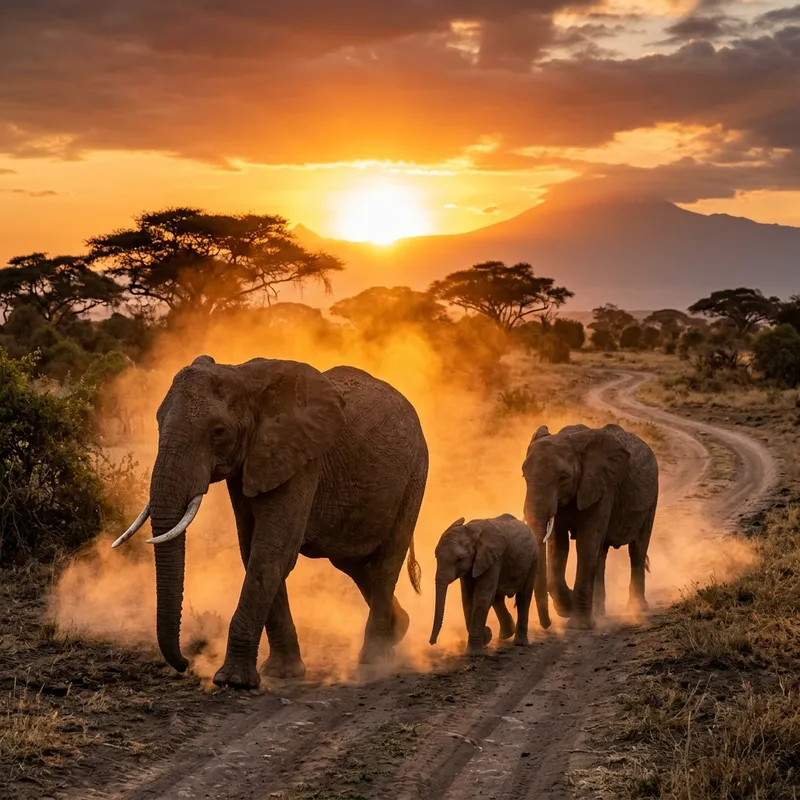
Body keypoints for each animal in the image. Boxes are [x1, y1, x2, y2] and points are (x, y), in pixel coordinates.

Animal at [113, 355, 429, 689]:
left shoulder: (301, 459)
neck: (243, 375)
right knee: (354, 564)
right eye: (158, 422)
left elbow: (272, 553)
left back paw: (374, 661)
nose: (185, 662)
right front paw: (281, 673)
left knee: (385, 563)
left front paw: (233, 681)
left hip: (415, 473)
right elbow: (252, 548)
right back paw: (399, 629)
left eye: (218, 432)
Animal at [428, 514, 547, 653]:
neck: (471, 532)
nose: (432, 642)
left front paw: (473, 653)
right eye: (436, 556)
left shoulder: (493, 558)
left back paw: (520, 643)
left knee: (523, 597)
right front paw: (485, 638)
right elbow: (468, 598)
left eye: (460, 559)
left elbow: (482, 597)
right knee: (497, 597)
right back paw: (506, 635)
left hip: (533, 559)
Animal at [522, 423, 658, 630]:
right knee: (601, 555)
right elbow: (558, 546)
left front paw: (579, 624)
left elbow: (586, 544)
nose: (548, 624)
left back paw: (637, 609)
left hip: (651, 499)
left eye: (563, 477)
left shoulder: (602, 487)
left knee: (637, 550)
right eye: (524, 475)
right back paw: (600, 613)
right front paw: (568, 608)